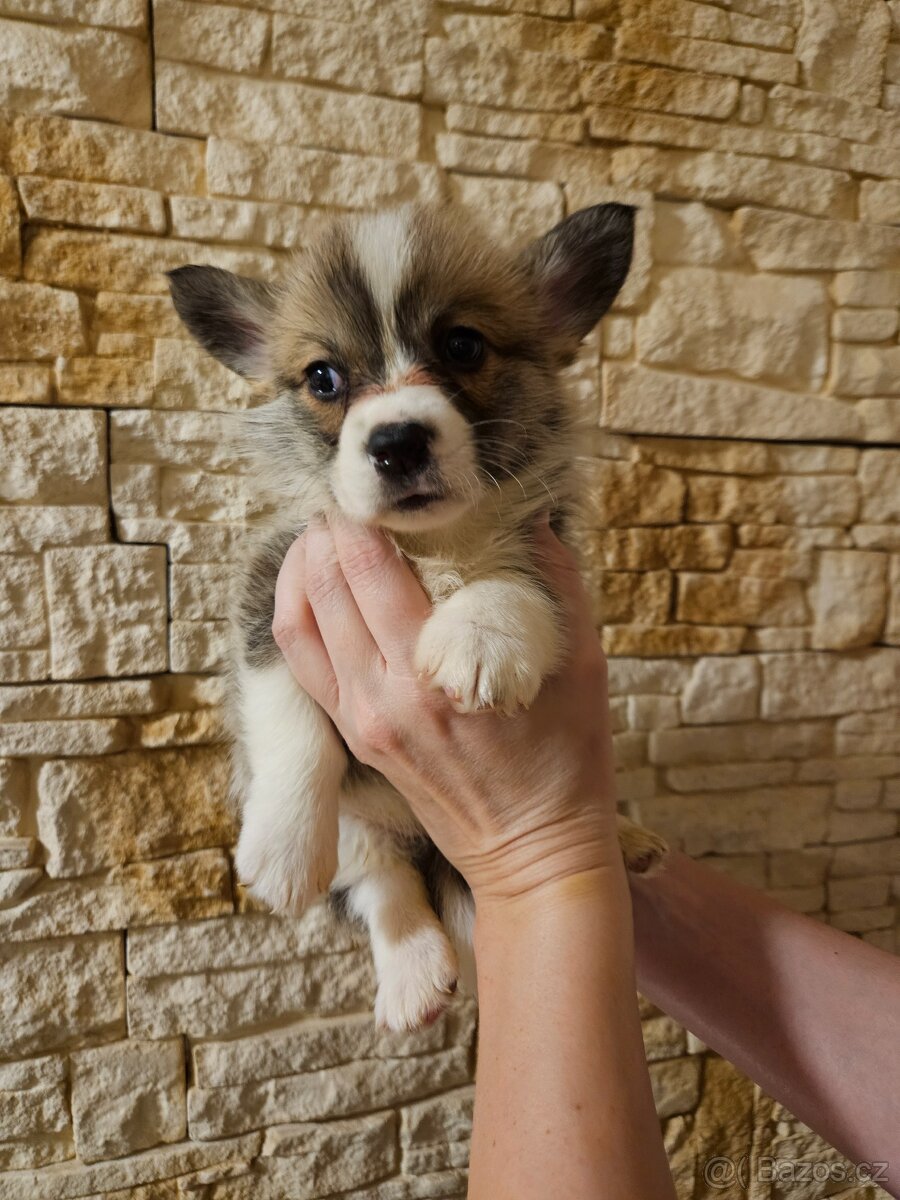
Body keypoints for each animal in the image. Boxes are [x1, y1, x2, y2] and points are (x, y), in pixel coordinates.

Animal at [169, 206, 667, 1032]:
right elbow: (288, 723)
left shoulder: (552, 554)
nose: (396, 442)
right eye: (323, 377)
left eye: (463, 345)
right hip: (361, 826)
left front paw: (479, 639)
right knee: (381, 882)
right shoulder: (273, 590)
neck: (429, 543)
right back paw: (412, 973)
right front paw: (280, 849)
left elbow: (511, 586)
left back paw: (625, 838)